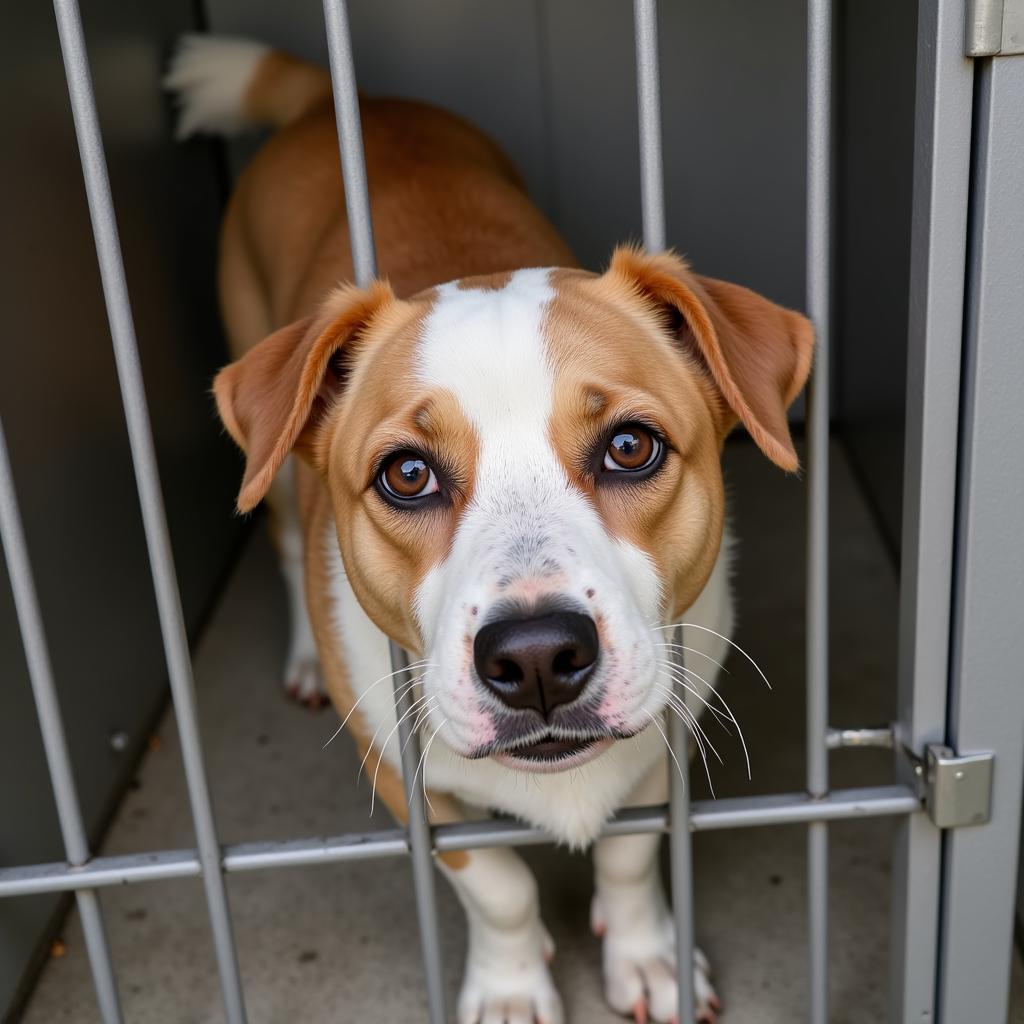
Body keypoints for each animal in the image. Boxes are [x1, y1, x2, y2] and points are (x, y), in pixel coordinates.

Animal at [167, 34, 811, 1024]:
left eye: (631, 446)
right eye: (407, 474)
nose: (539, 657)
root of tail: (336, 102)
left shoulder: (668, 723)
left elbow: (631, 851)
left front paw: (646, 957)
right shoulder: (406, 779)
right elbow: (497, 883)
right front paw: (511, 989)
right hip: (265, 470)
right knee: (278, 543)